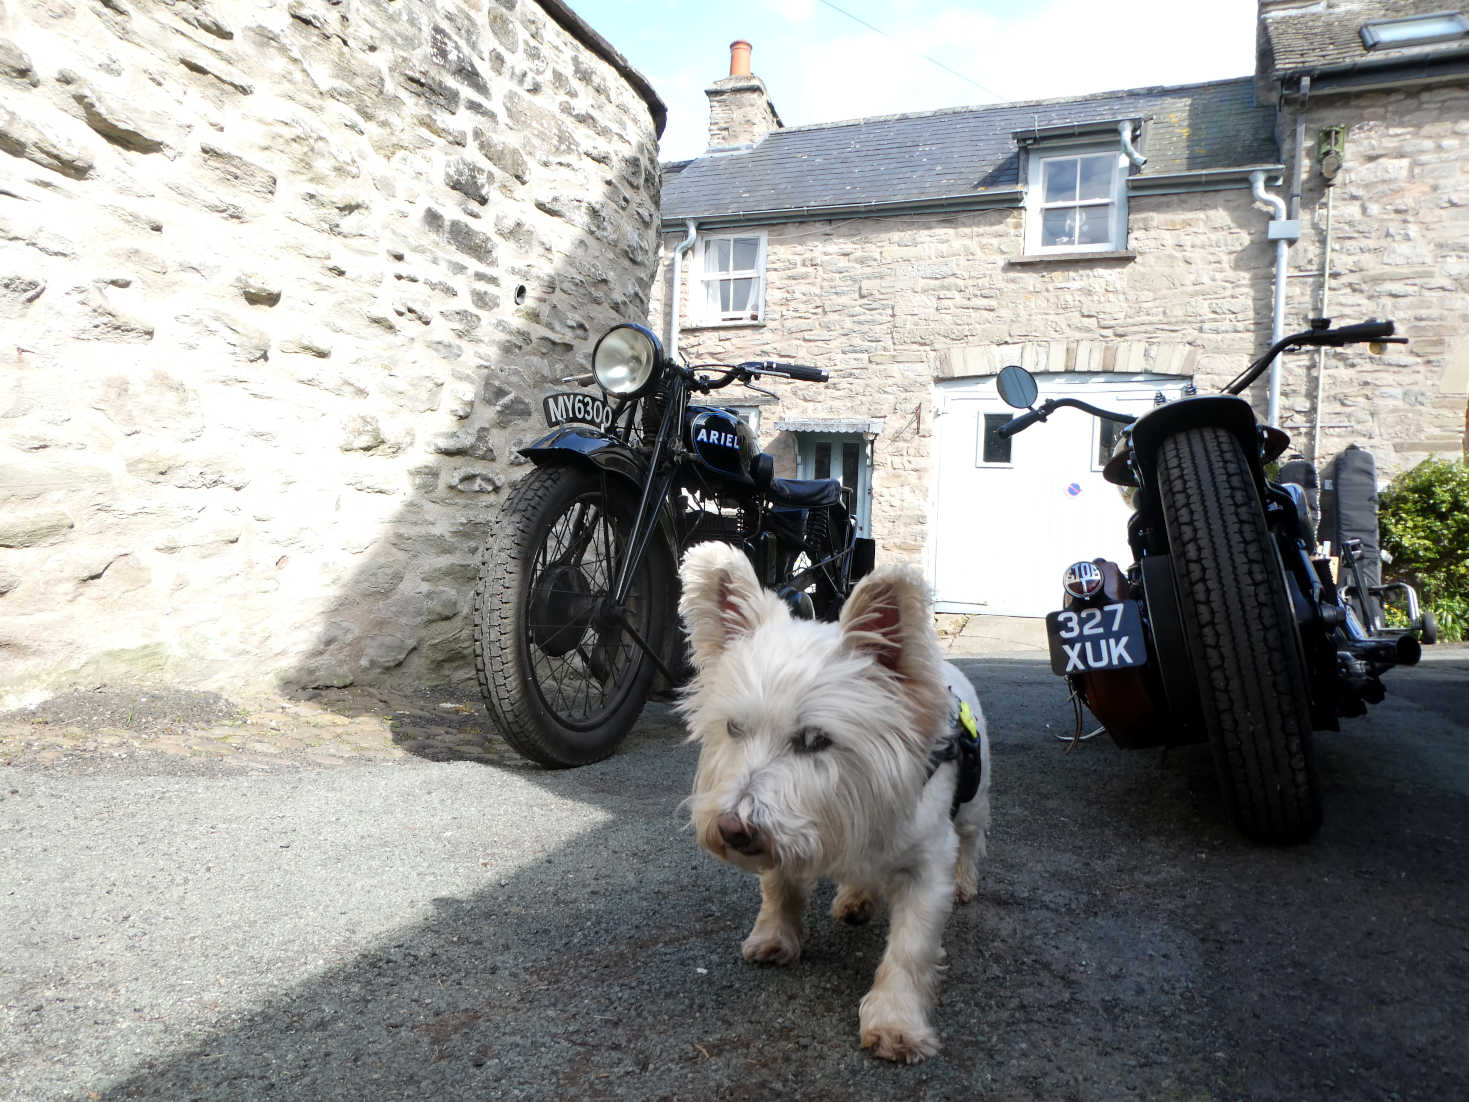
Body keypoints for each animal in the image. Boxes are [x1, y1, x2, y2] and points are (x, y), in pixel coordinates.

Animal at [681, 540, 993, 1063]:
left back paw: (966, 881)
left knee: (973, 837)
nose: (731, 829)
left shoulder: (927, 866)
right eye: (734, 727)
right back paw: (854, 898)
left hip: (973, 801)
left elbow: (910, 948)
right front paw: (774, 937)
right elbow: (779, 888)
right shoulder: (783, 837)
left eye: (814, 739)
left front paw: (895, 1021)